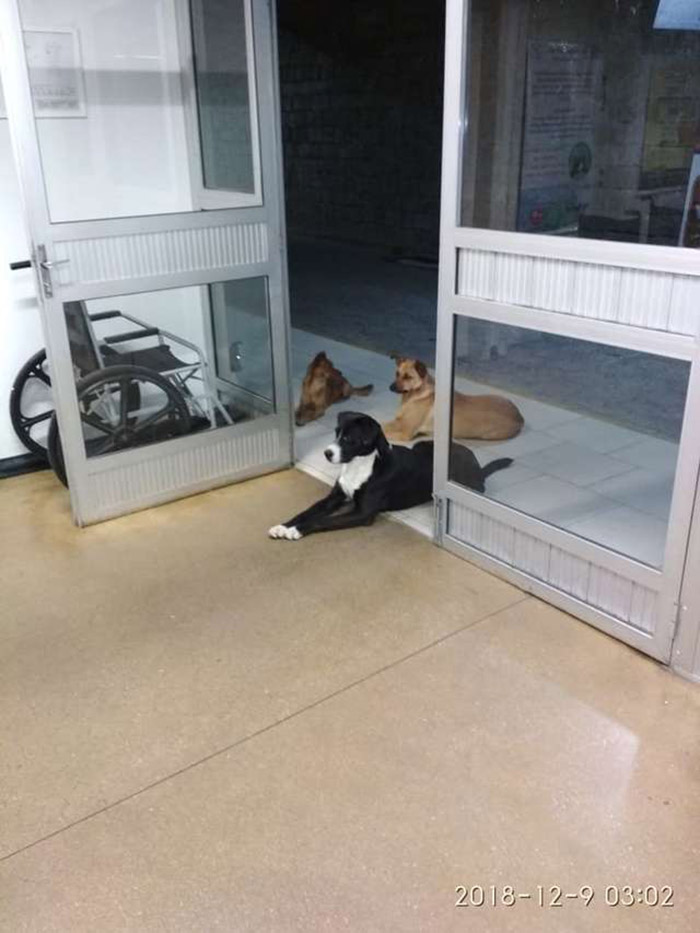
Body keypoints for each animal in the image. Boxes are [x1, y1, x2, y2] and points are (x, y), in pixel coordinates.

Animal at [266, 414, 512, 540]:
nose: (327, 453)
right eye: (336, 433)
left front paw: (296, 530)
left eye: (349, 438)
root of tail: (477, 465)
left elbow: (321, 520)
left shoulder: (362, 513)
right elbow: (308, 511)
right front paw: (284, 525)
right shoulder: (334, 498)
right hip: (423, 445)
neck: (360, 466)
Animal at [380, 356, 524, 444]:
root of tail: (519, 416)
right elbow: (381, 424)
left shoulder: (406, 432)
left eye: (407, 377)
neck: (414, 394)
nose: (390, 387)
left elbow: (384, 432)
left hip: (489, 435)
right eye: (397, 373)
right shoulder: (399, 422)